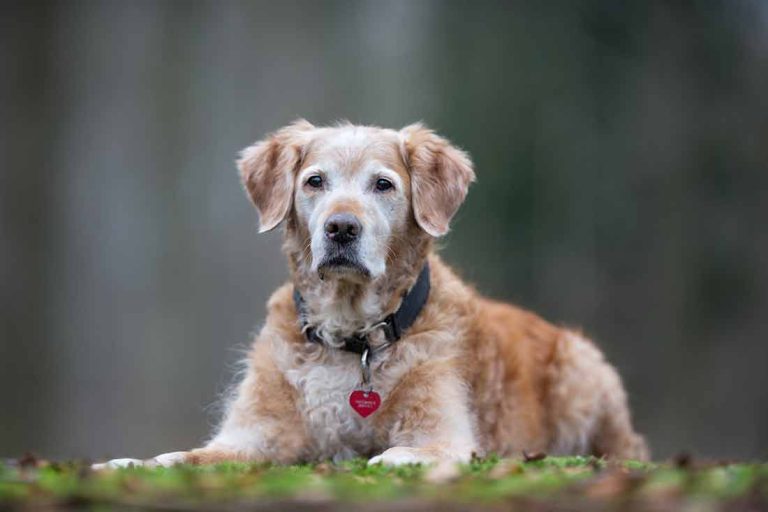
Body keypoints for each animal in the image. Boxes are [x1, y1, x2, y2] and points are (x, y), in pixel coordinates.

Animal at [94, 120, 648, 468]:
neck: (351, 336)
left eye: (383, 185)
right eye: (314, 181)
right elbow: (184, 456)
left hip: (584, 366)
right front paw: (132, 462)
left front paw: (394, 456)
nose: (341, 228)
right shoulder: (254, 433)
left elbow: (414, 450)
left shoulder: (444, 429)